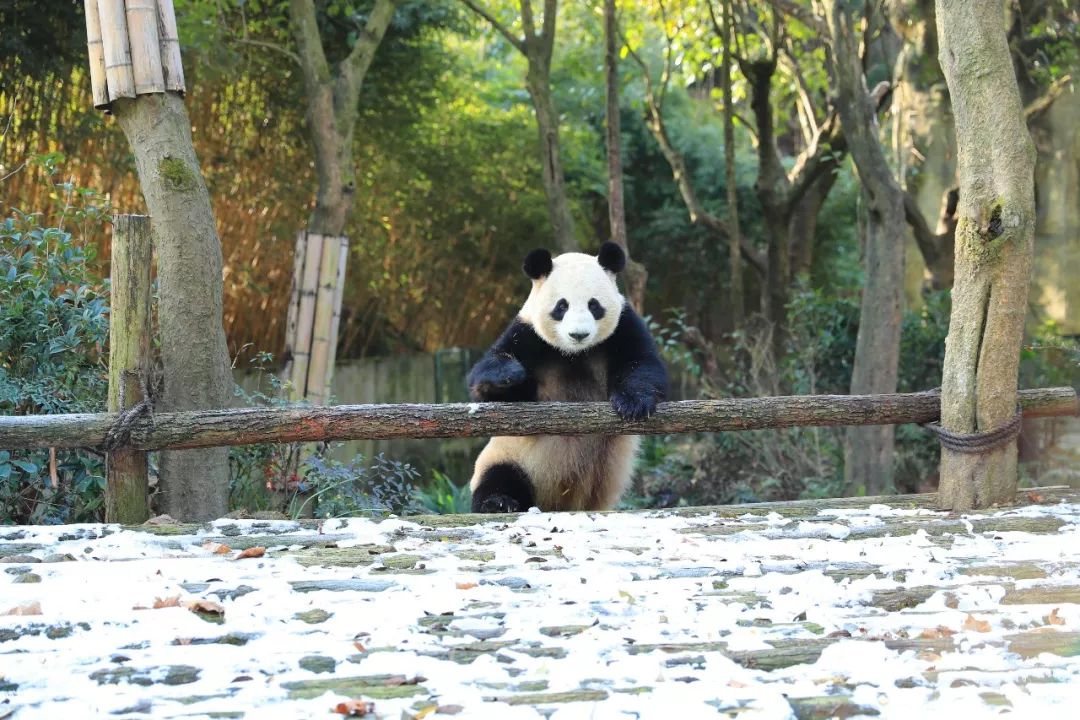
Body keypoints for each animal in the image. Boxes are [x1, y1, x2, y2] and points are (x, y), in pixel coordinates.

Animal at [464, 241, 665, 511]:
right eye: (562, 306)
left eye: (594, 305)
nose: (578, 334)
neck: (575, 354)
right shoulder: (528, 333)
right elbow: (495, 387)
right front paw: (510, 374)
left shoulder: (624, 326)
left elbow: (642, 364)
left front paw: (633, 404)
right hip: (510, 458)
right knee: (499, 477)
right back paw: (498, 502)